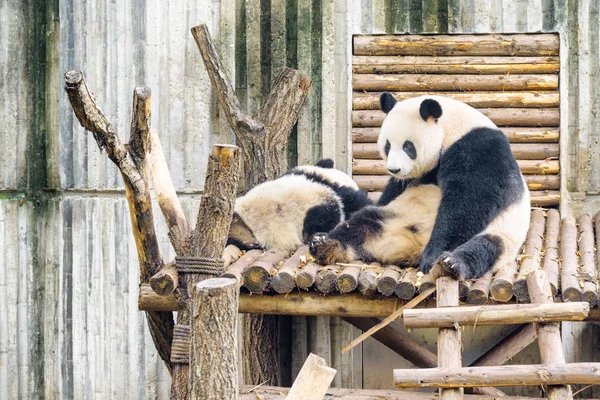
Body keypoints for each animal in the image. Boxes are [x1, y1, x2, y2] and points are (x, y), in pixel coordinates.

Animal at [312, 94, 528, 282]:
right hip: (392, 216)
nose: (394, 169)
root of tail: (412, 247)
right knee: (362, 224)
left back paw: (449, 264)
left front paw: (433, 256)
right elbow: (394, 189)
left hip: (503, 234)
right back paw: (325, 244)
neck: (452, 128)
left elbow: (469, 202)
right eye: (387, 145)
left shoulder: (479, 149)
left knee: (484, 249)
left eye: (408, 146)